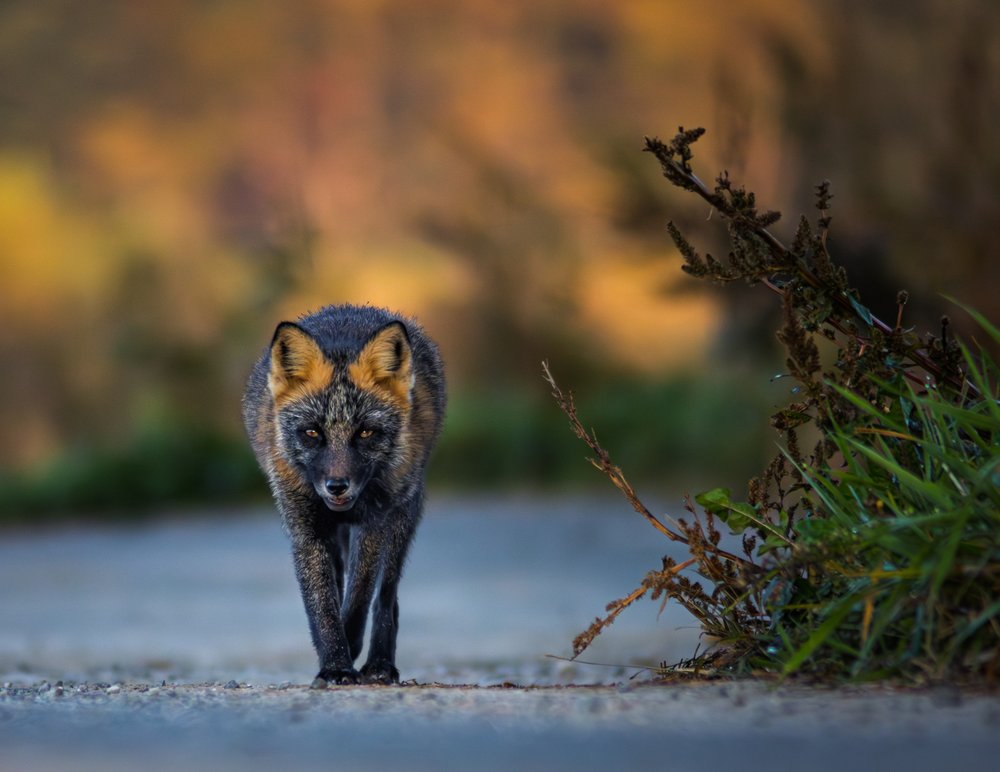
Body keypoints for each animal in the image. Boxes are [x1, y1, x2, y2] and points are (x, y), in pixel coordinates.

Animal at [241, 304, 446, 687]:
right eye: (312, 433)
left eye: (365, 432)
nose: (337, 486)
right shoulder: (306, 529)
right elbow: (323, 605)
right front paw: (335, 663)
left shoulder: (373, 525)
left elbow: (360, 596)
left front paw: (349, 649)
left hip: (401, 520)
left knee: (387, 598)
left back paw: (380, 662)